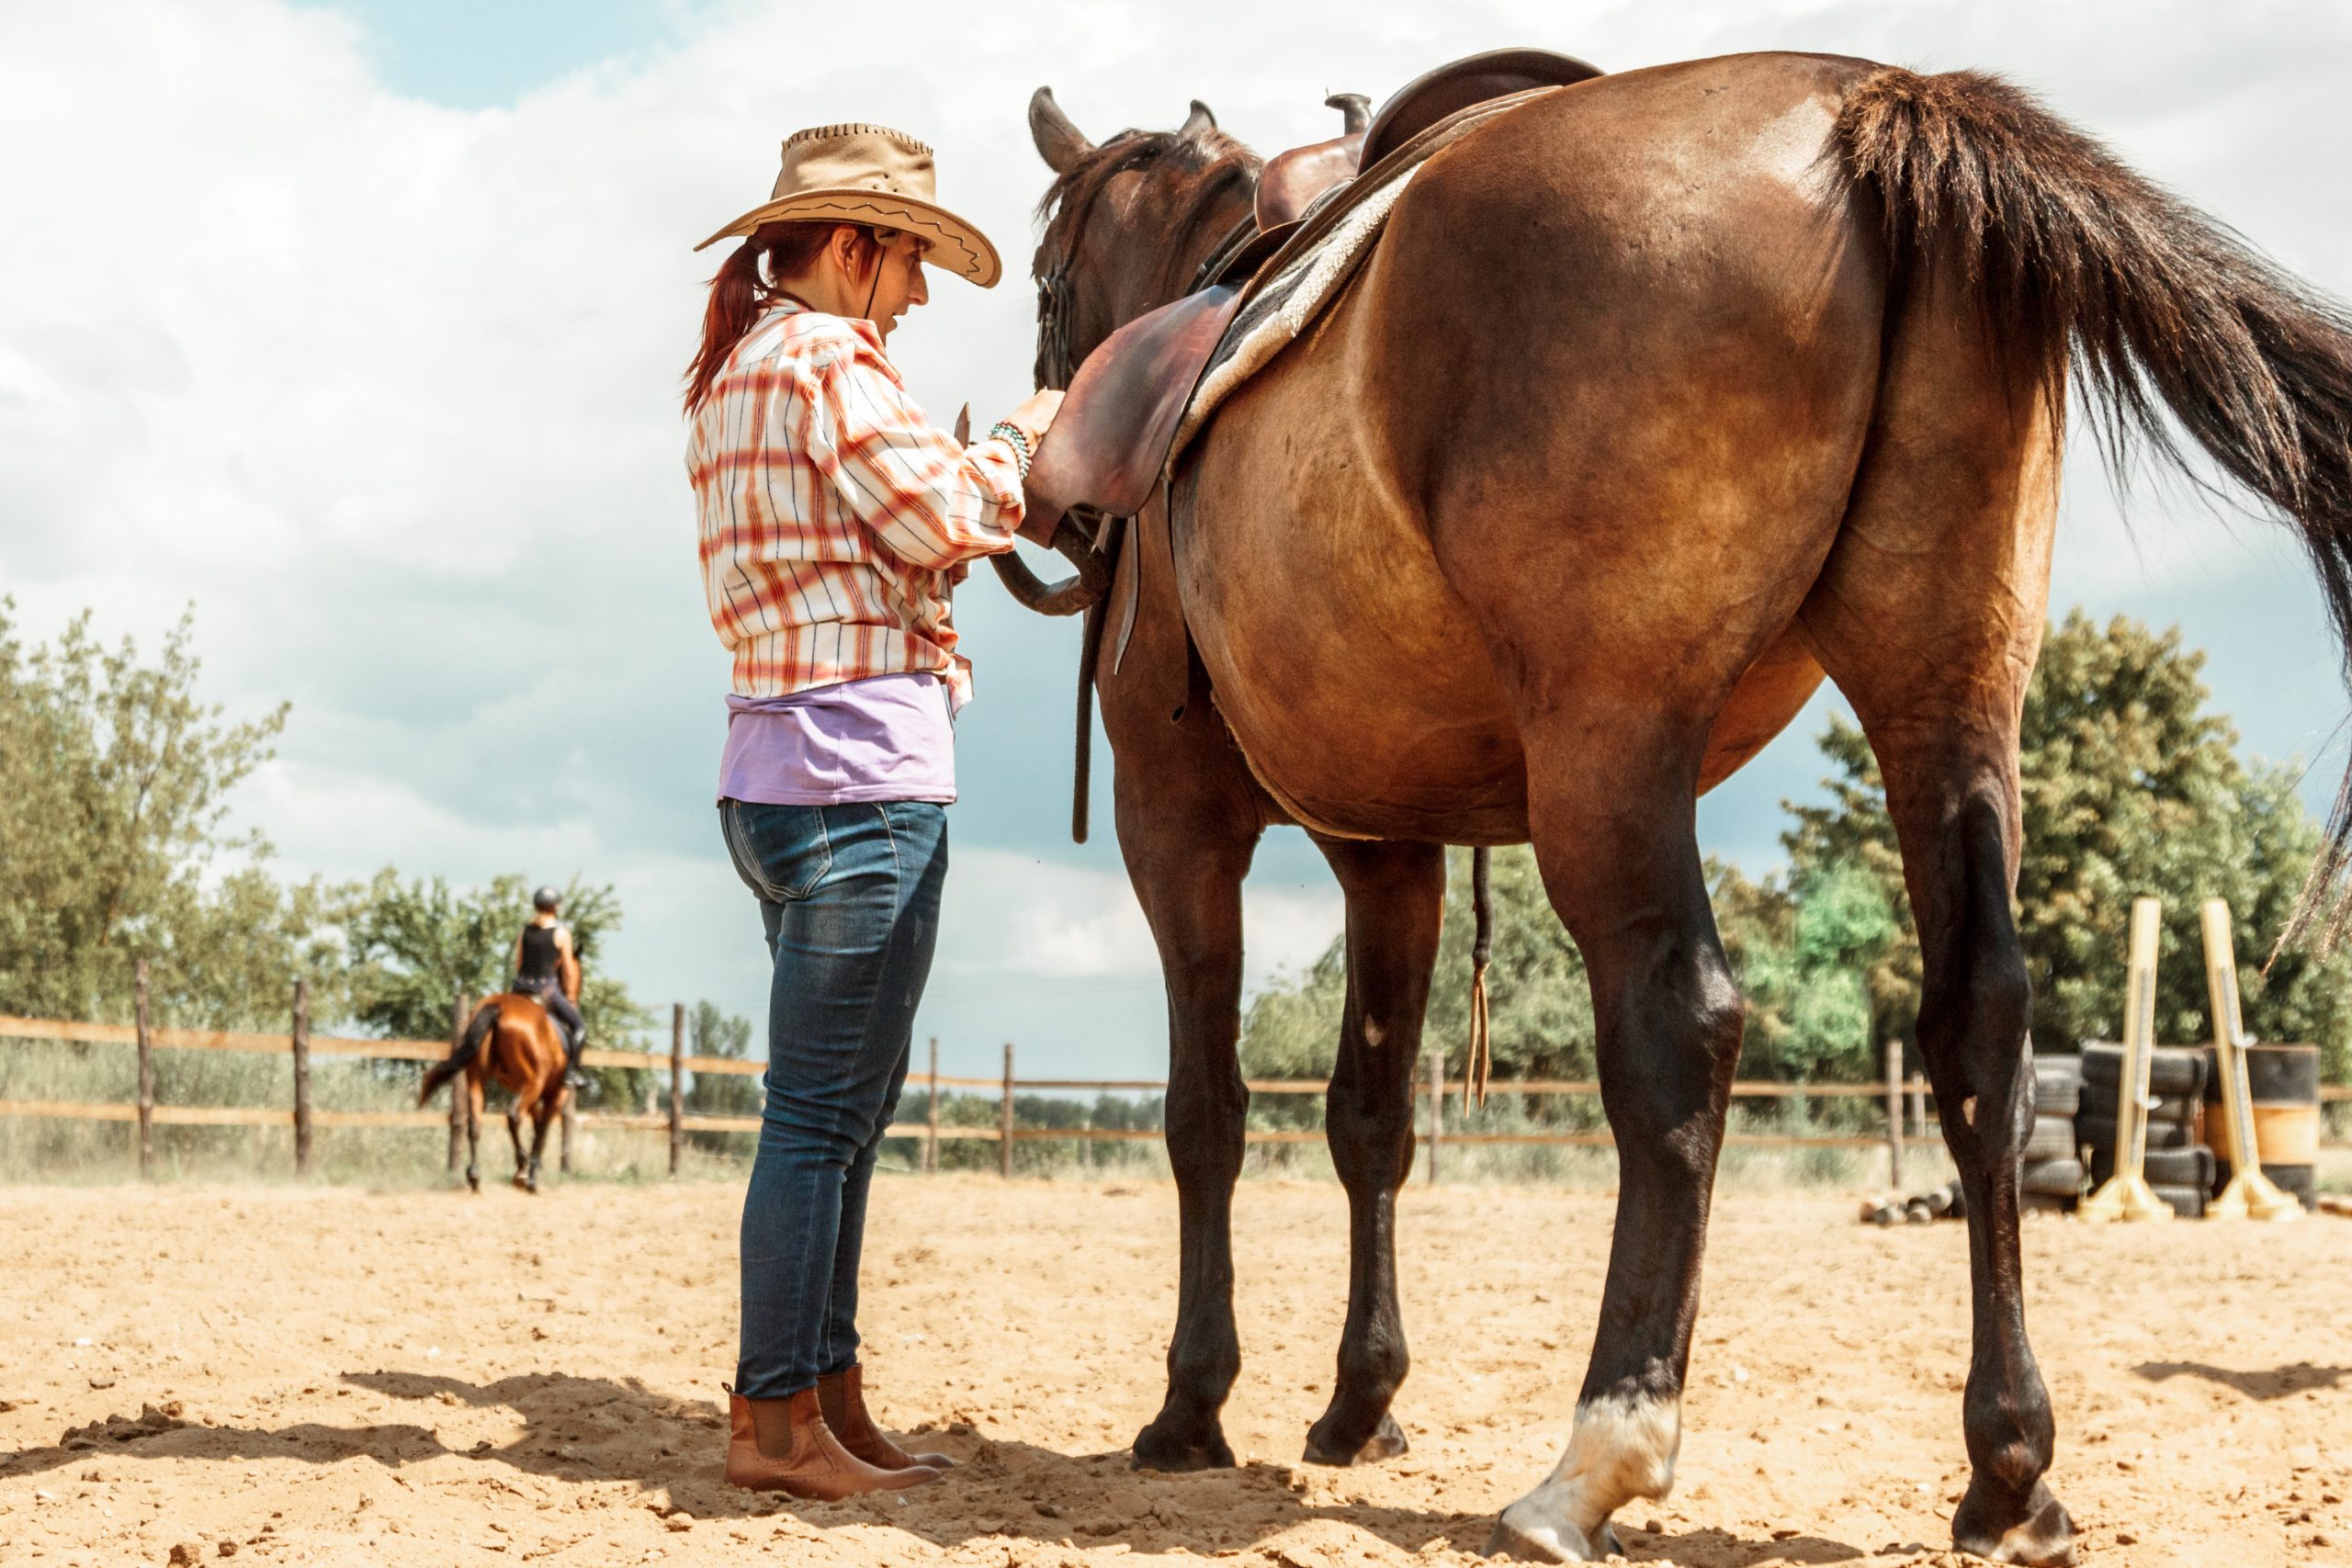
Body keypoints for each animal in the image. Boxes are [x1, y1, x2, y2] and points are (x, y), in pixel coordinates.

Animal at [423, 1001, 573, 1194]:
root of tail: (497, 1006)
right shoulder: (556, 1093)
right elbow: (542, 1128)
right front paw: (532, 1176)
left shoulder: (530, 1093)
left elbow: (537, 1122)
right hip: (534, 1083)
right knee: (514, 1117)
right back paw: (522, 1170)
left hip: (478, 1079)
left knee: (475, 1123)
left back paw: (475, 1176)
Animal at [1021, 55, 2352, 1561]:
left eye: (1045, 282)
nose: (1060, 507)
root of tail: (1871, 103)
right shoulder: (1389, 848)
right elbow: (1370, 1118)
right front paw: (1362, 1406)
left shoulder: (1176, 819)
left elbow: (1208, 1111)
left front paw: (1191, 1408)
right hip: (1948, 703)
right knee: (1983, 1026)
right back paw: (2009, 1471)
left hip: (1611, 748)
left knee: (1680, 1029)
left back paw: (1596, 1456)